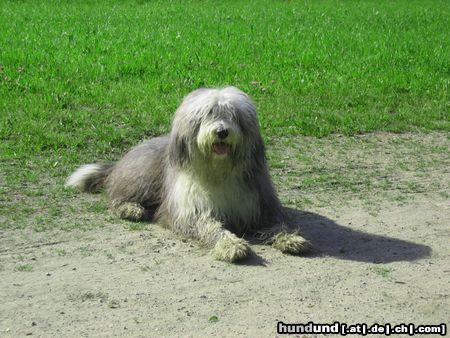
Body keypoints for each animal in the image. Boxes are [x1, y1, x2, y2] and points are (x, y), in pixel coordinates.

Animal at [67, 86, 312, 262]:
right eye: (208, 115)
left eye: (233, 116)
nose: (221, 132)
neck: (219, 170)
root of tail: (119, 163)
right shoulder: (192, 209)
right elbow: (210, 227)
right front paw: (230, 245)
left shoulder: (260, 204)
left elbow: (278, 224)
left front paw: (291, 239)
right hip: (140, 179)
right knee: (115, 197)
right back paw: (131, 209)